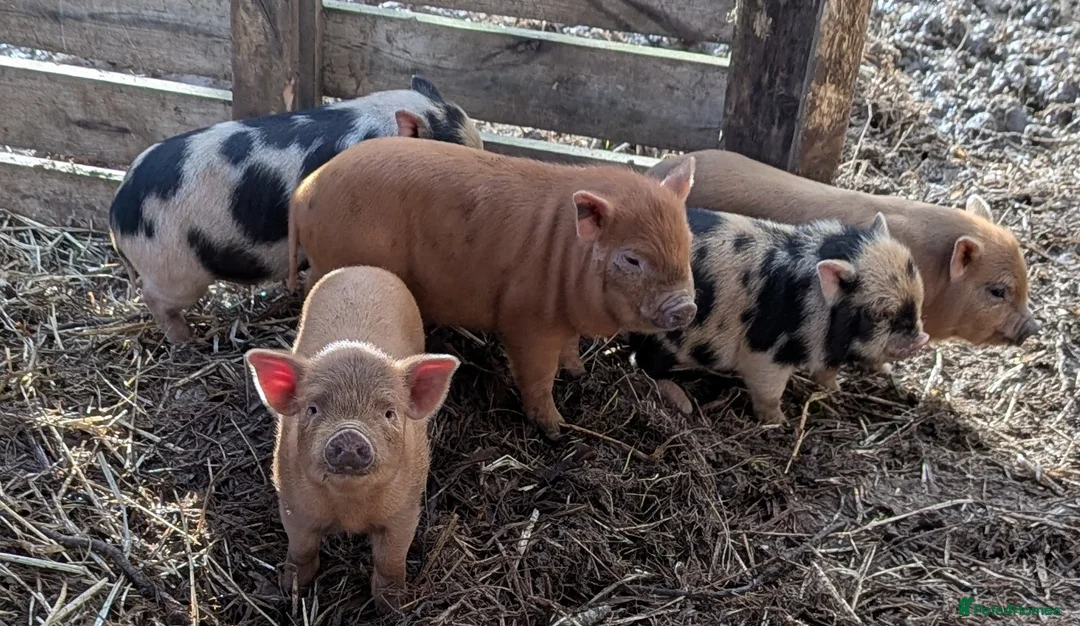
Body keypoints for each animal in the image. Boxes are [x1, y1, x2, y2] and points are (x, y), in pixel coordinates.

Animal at [244, 266, 460, 610]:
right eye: (313, 408)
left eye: (389, 413)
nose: (348, 434)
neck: (349, 510)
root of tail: (362, 268)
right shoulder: (292, 504)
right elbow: (301, 548)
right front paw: (291, 587)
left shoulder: (405, 510)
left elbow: (391, 559)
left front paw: (391, 605)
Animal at [287, 136, 698, 437]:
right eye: (632, 259)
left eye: (687, 242)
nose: (687, 307)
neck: (566, 256)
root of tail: (302, 192)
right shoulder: (527, 321)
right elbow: (538, 376)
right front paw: (557, 429)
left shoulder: (566, 322)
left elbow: (569, 349)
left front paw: (579, 373)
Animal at [628, 209, 929, 424]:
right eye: (880, 312)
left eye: (918, 299)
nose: (922, 339)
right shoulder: (766, 349)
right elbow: (769, 389)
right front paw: (778, 422)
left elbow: (827, 372)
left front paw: (836, 389)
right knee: (645, 361)